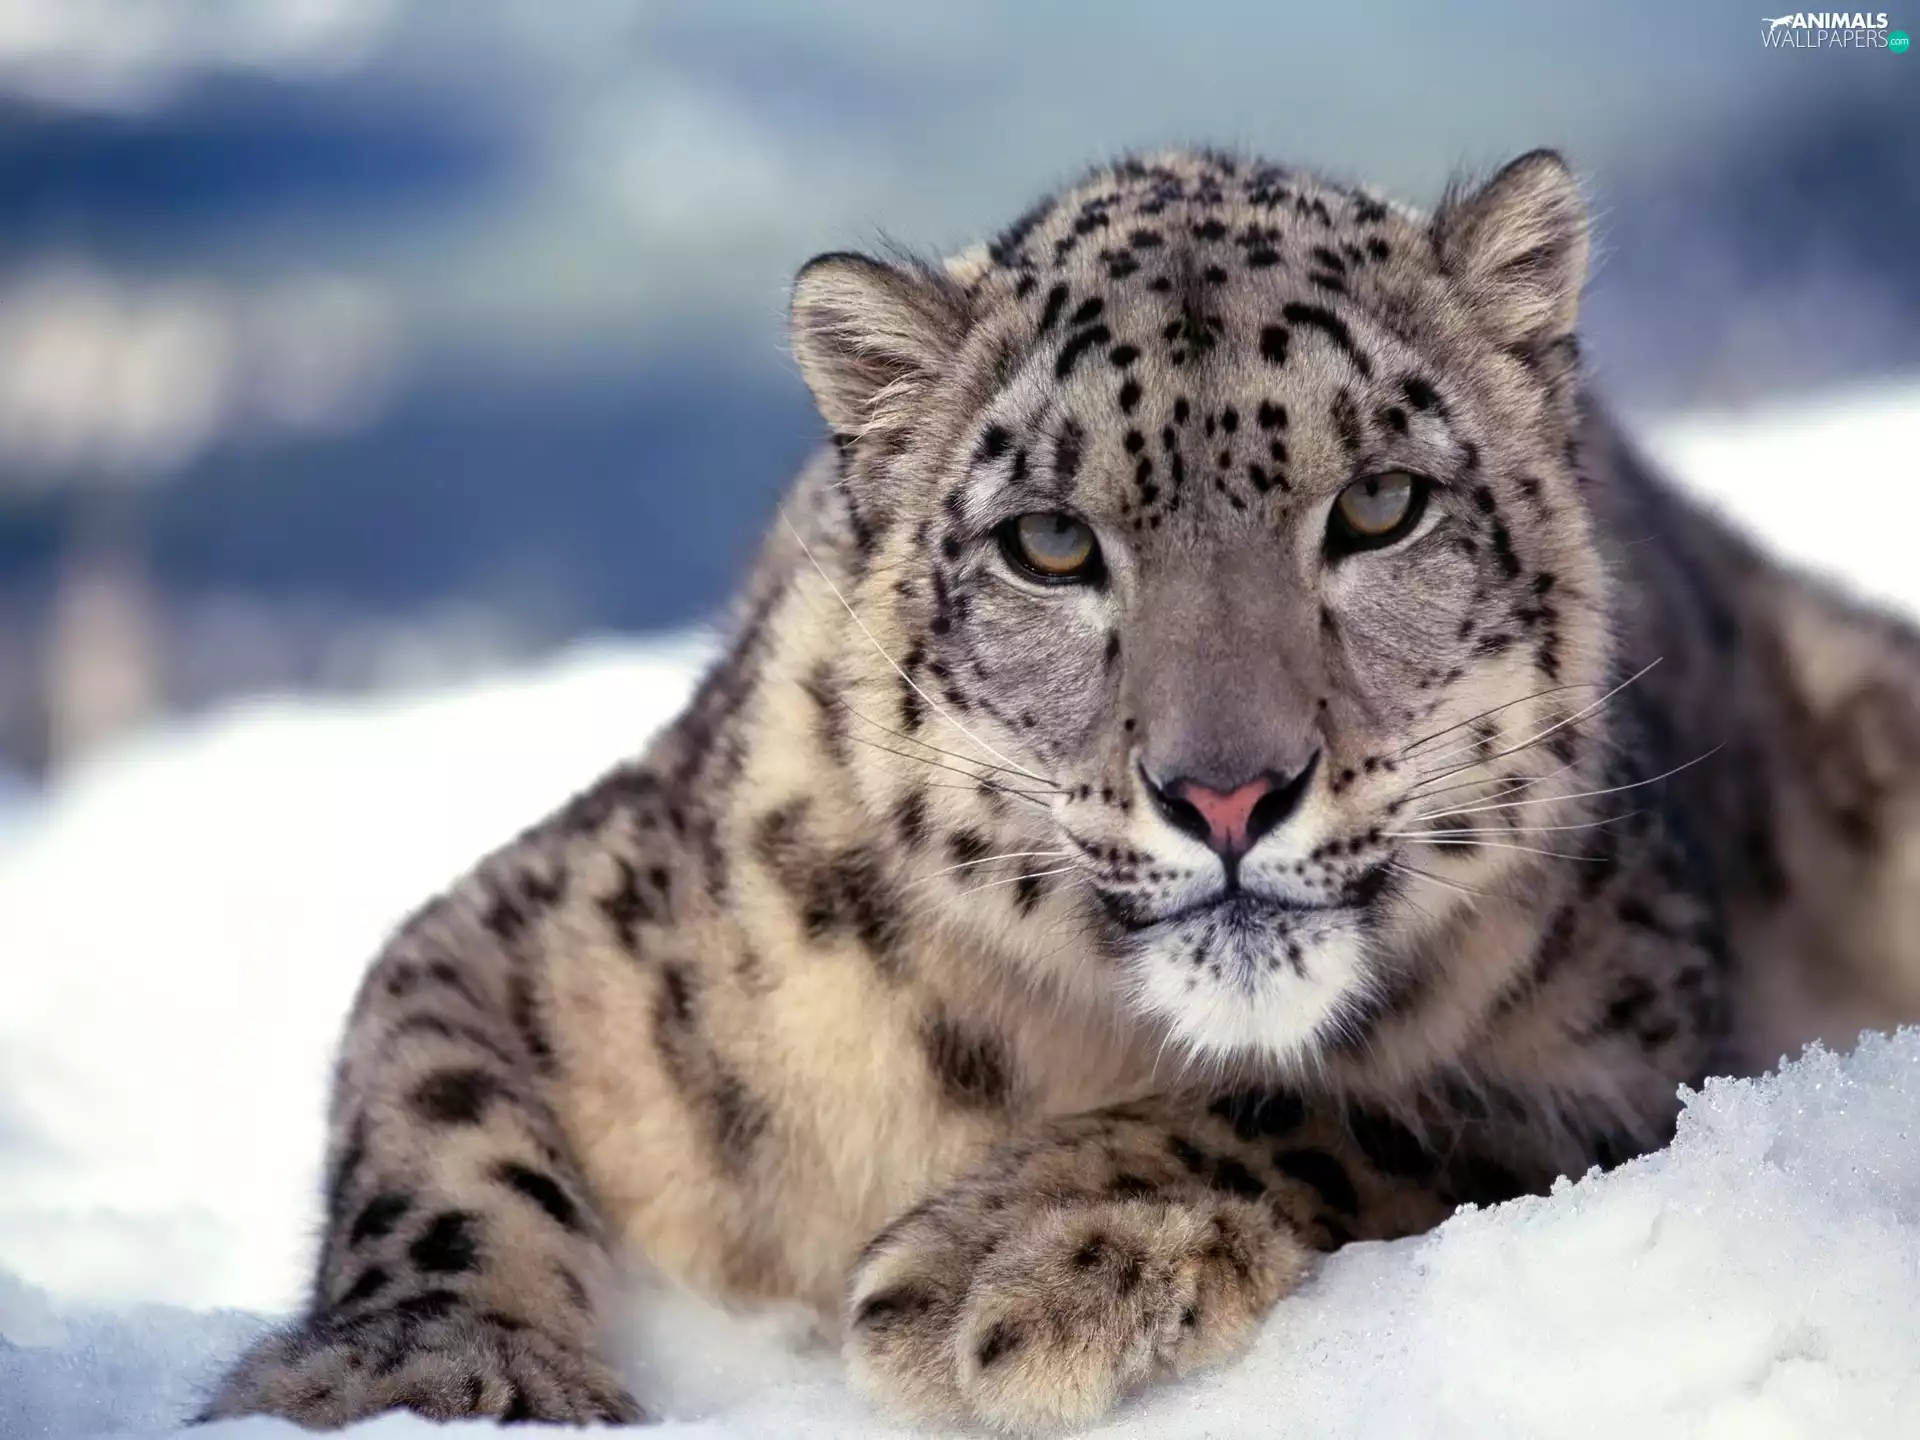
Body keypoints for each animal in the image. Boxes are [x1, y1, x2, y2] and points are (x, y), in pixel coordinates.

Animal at [198, 147, 1920, 1433]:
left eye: (1380, 505)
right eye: (1048, 541)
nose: (1227, 793)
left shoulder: (1637, 1049)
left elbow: (1356, 1101)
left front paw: (1013, 1258)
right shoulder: (542, 930)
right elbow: (434, 1120)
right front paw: (426, 1379)